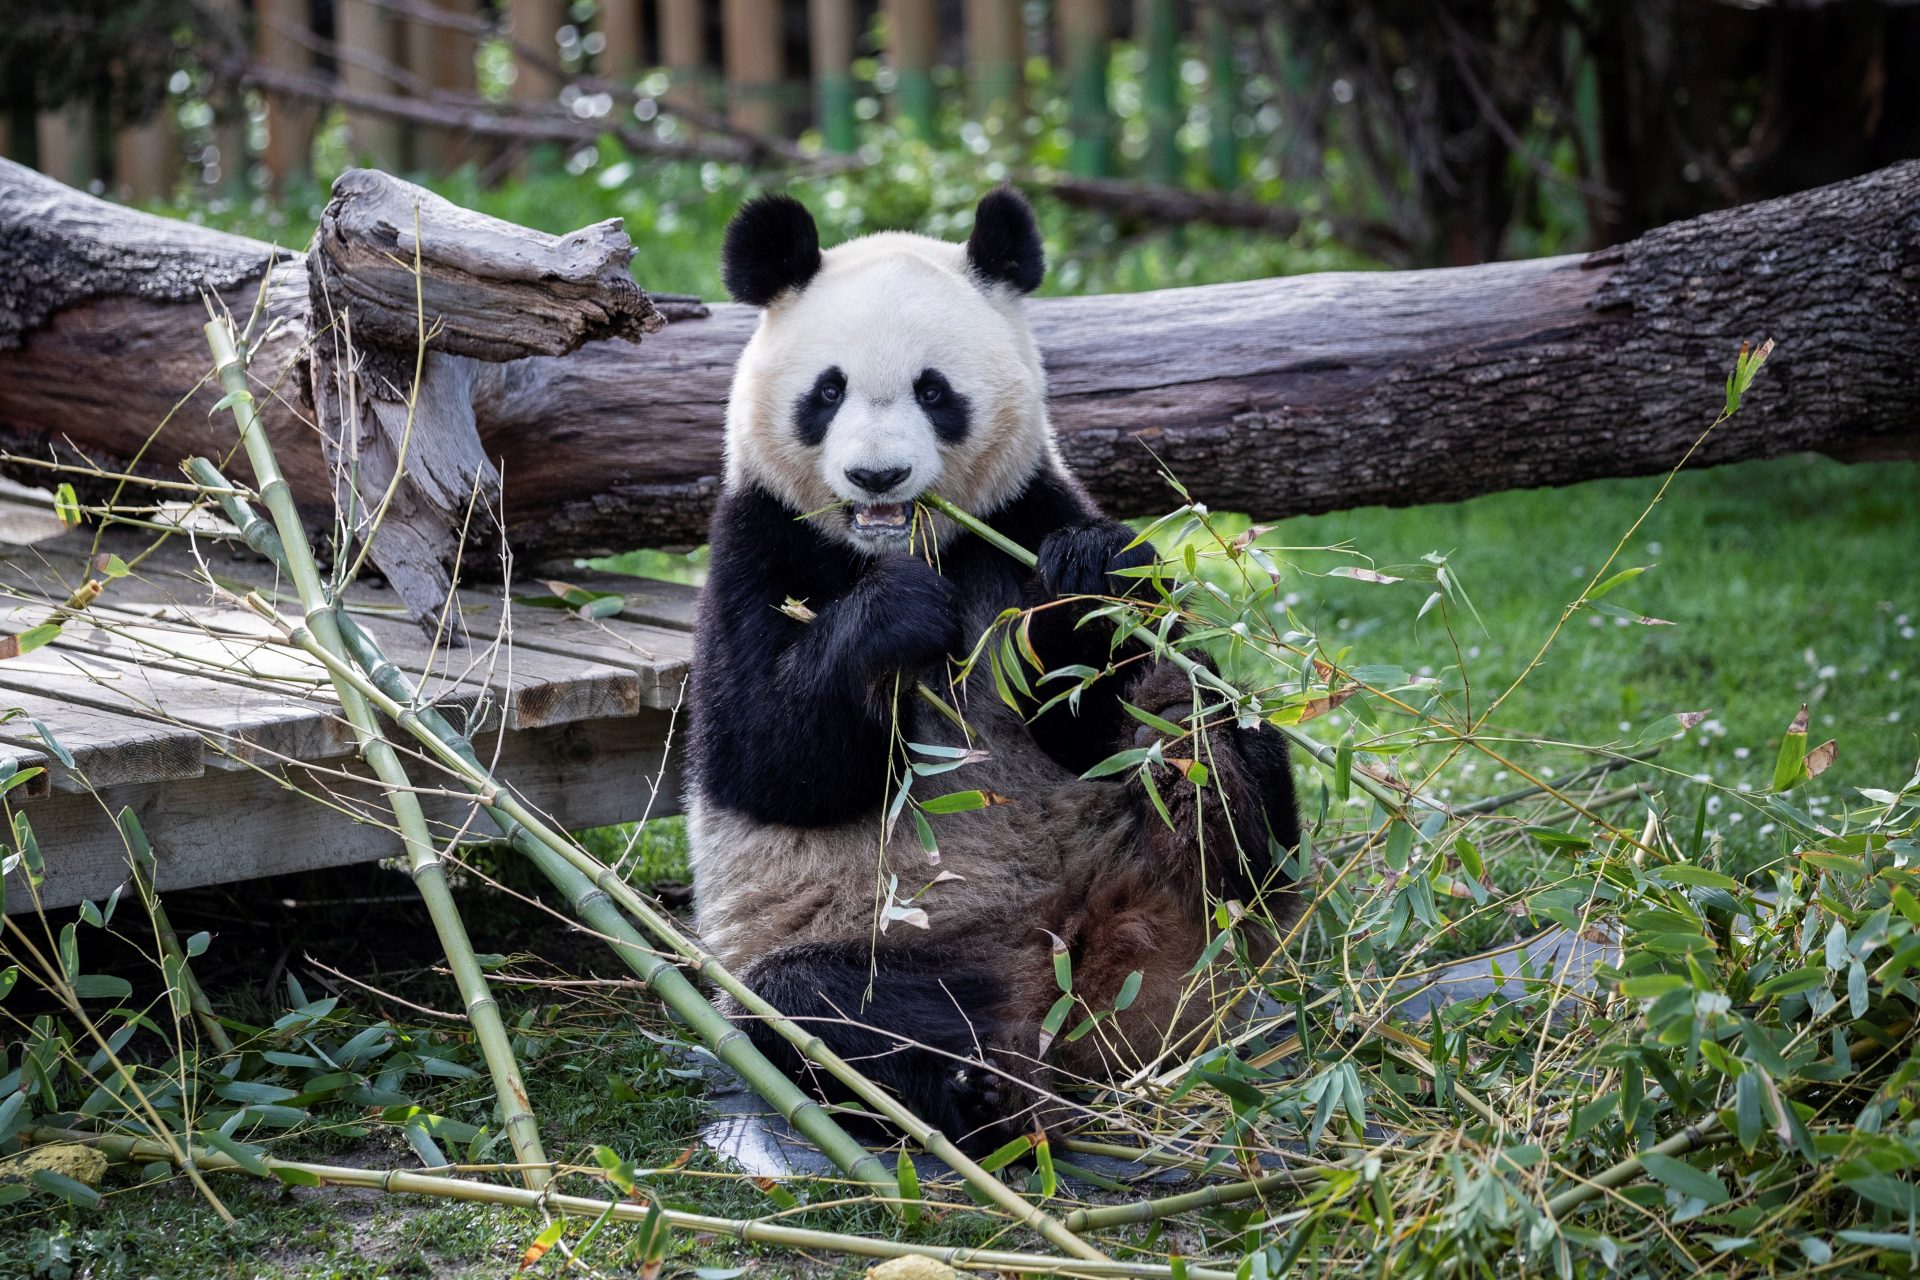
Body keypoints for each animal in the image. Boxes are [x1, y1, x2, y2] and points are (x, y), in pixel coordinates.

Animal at [687, 187, 1301, 1154]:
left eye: (935, 391)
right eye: (828, 391)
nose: (878, 476)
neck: (913, 543)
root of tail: (1088, 978)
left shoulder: (1025, 510)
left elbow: (1090, 710)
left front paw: (1085, 580)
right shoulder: (759, 540)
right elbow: (769, 759)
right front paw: (893, 618)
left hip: (1188, 897)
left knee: (1218, 750)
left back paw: (1201, 784)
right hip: (892, 944)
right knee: (822, 1008)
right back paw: (975, 1092)